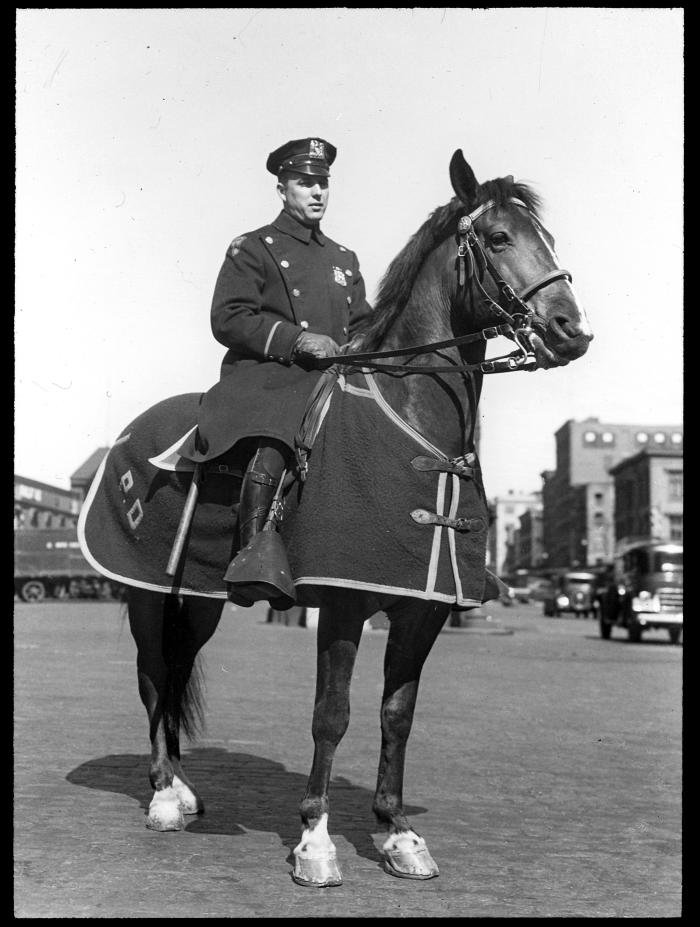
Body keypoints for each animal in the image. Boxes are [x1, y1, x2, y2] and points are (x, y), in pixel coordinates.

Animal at [78, 150, 592, 884]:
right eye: (498, 238)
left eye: (546, 238)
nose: (570, 329)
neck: (411, 415)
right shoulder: (345, 599)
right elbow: (333, 714)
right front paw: (315, 840)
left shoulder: (422, 606)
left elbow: (396, 714)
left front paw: (397, 832)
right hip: (146, 592)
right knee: (153, 679)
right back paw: (163, 796)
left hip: (199, 600)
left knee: (175, 673)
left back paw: (181, 786)